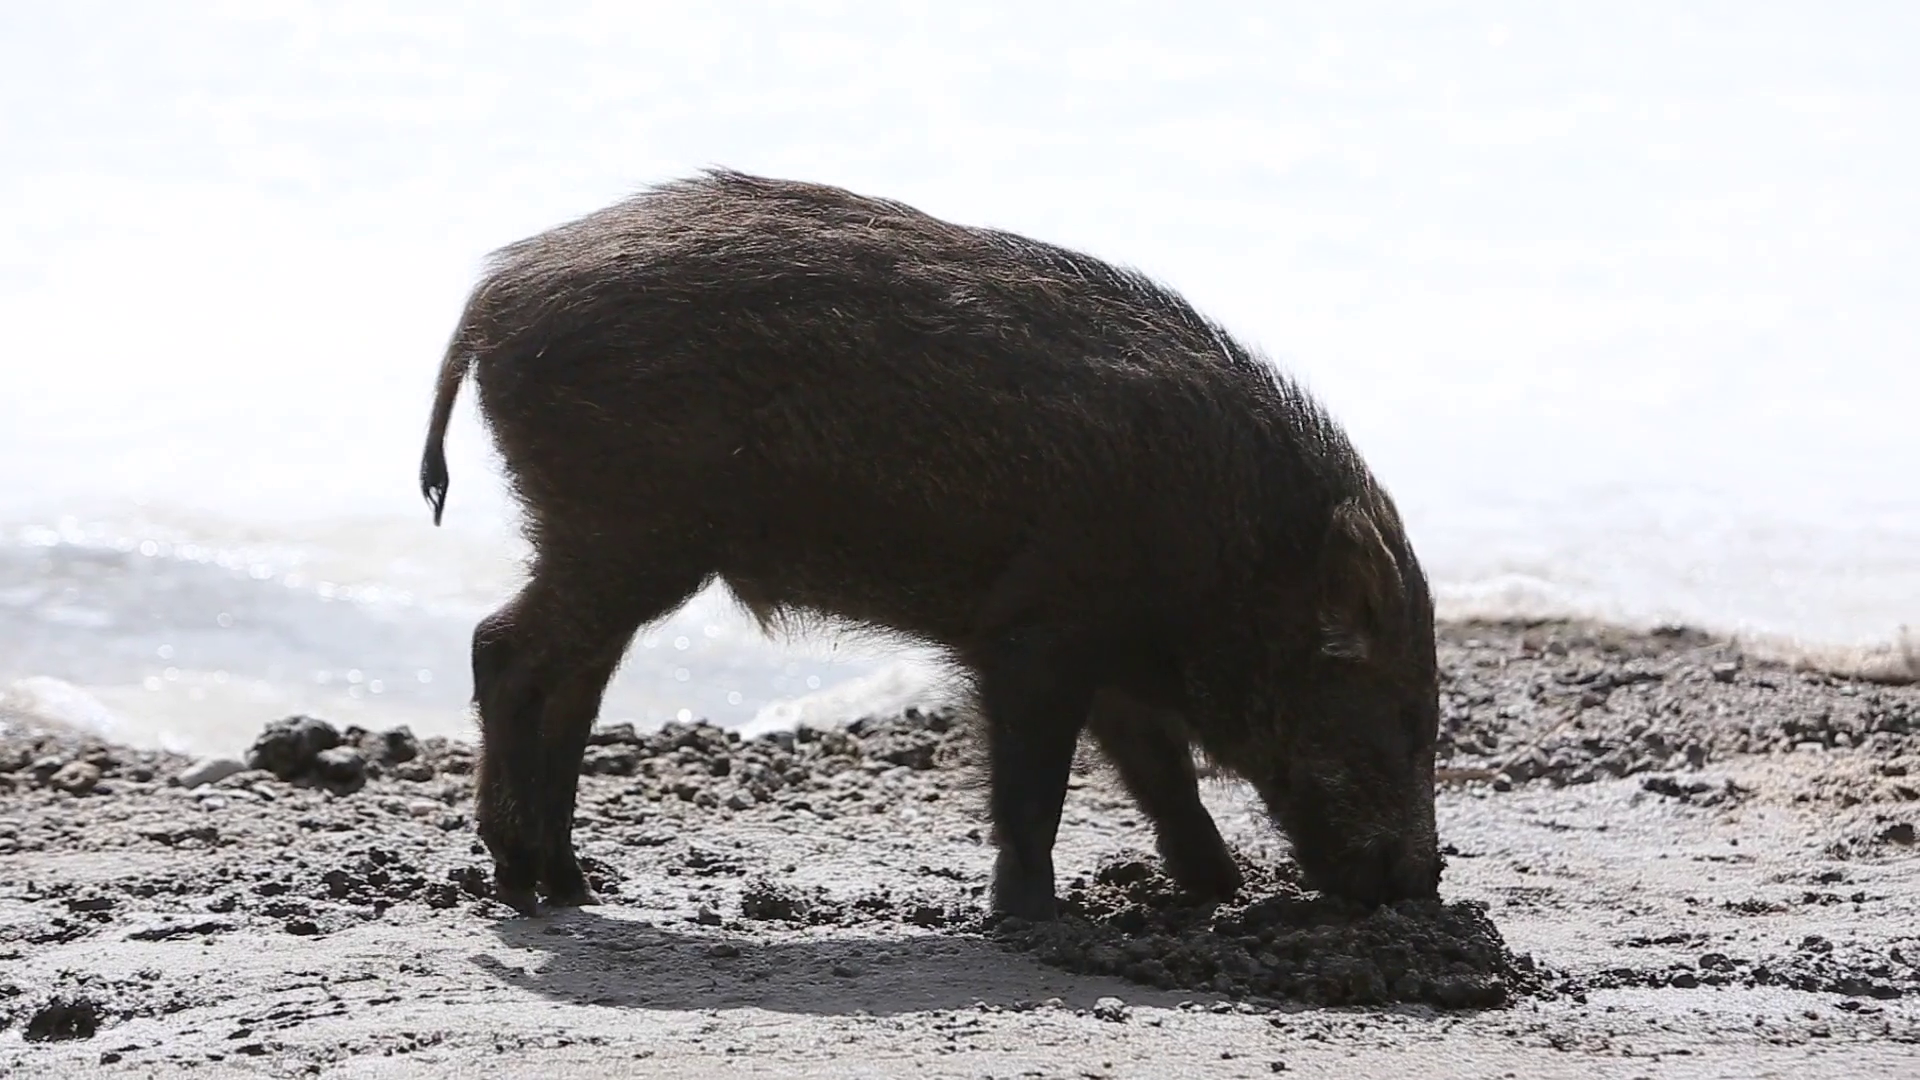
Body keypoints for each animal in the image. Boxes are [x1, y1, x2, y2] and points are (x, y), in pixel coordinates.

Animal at [419, 169, 1441, 919]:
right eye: (1398, 715)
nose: (1423, 886)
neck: (1234, 556)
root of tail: (490, 299)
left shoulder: (1110, 666)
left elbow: (1165, 782)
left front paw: (1219, 892)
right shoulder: (1035, 637)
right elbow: (1036, 786)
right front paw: (1032, 916)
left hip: (609, 544)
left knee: (570, 687)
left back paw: (570, 884)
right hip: (622, 535)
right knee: (502, 649)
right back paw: (525, 882)